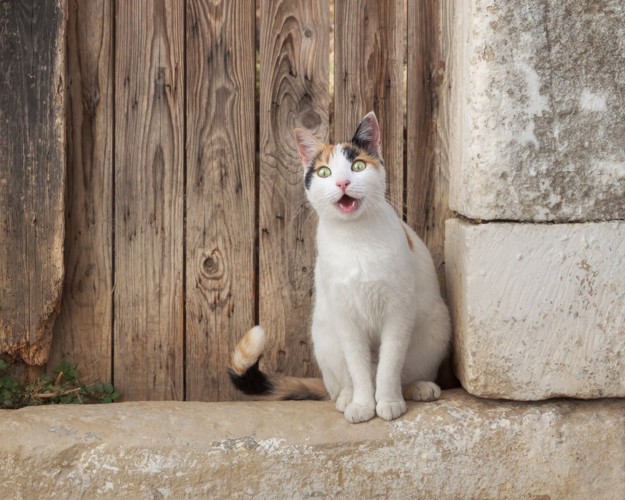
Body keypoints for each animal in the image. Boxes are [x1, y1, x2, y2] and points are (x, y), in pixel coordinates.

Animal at [228, 112, 448, 422]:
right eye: (324, 173)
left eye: (358, 166)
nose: (343, 183)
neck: (355, 240)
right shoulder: (346, 317)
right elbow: (358, 366)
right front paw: (363, 405)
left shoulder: (398, 311)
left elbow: (390, 364)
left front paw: (389, 402)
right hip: (324, 334)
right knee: (340, 384)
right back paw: (347, 397)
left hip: (435, 327)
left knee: (404, 371)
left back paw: (418, 388)